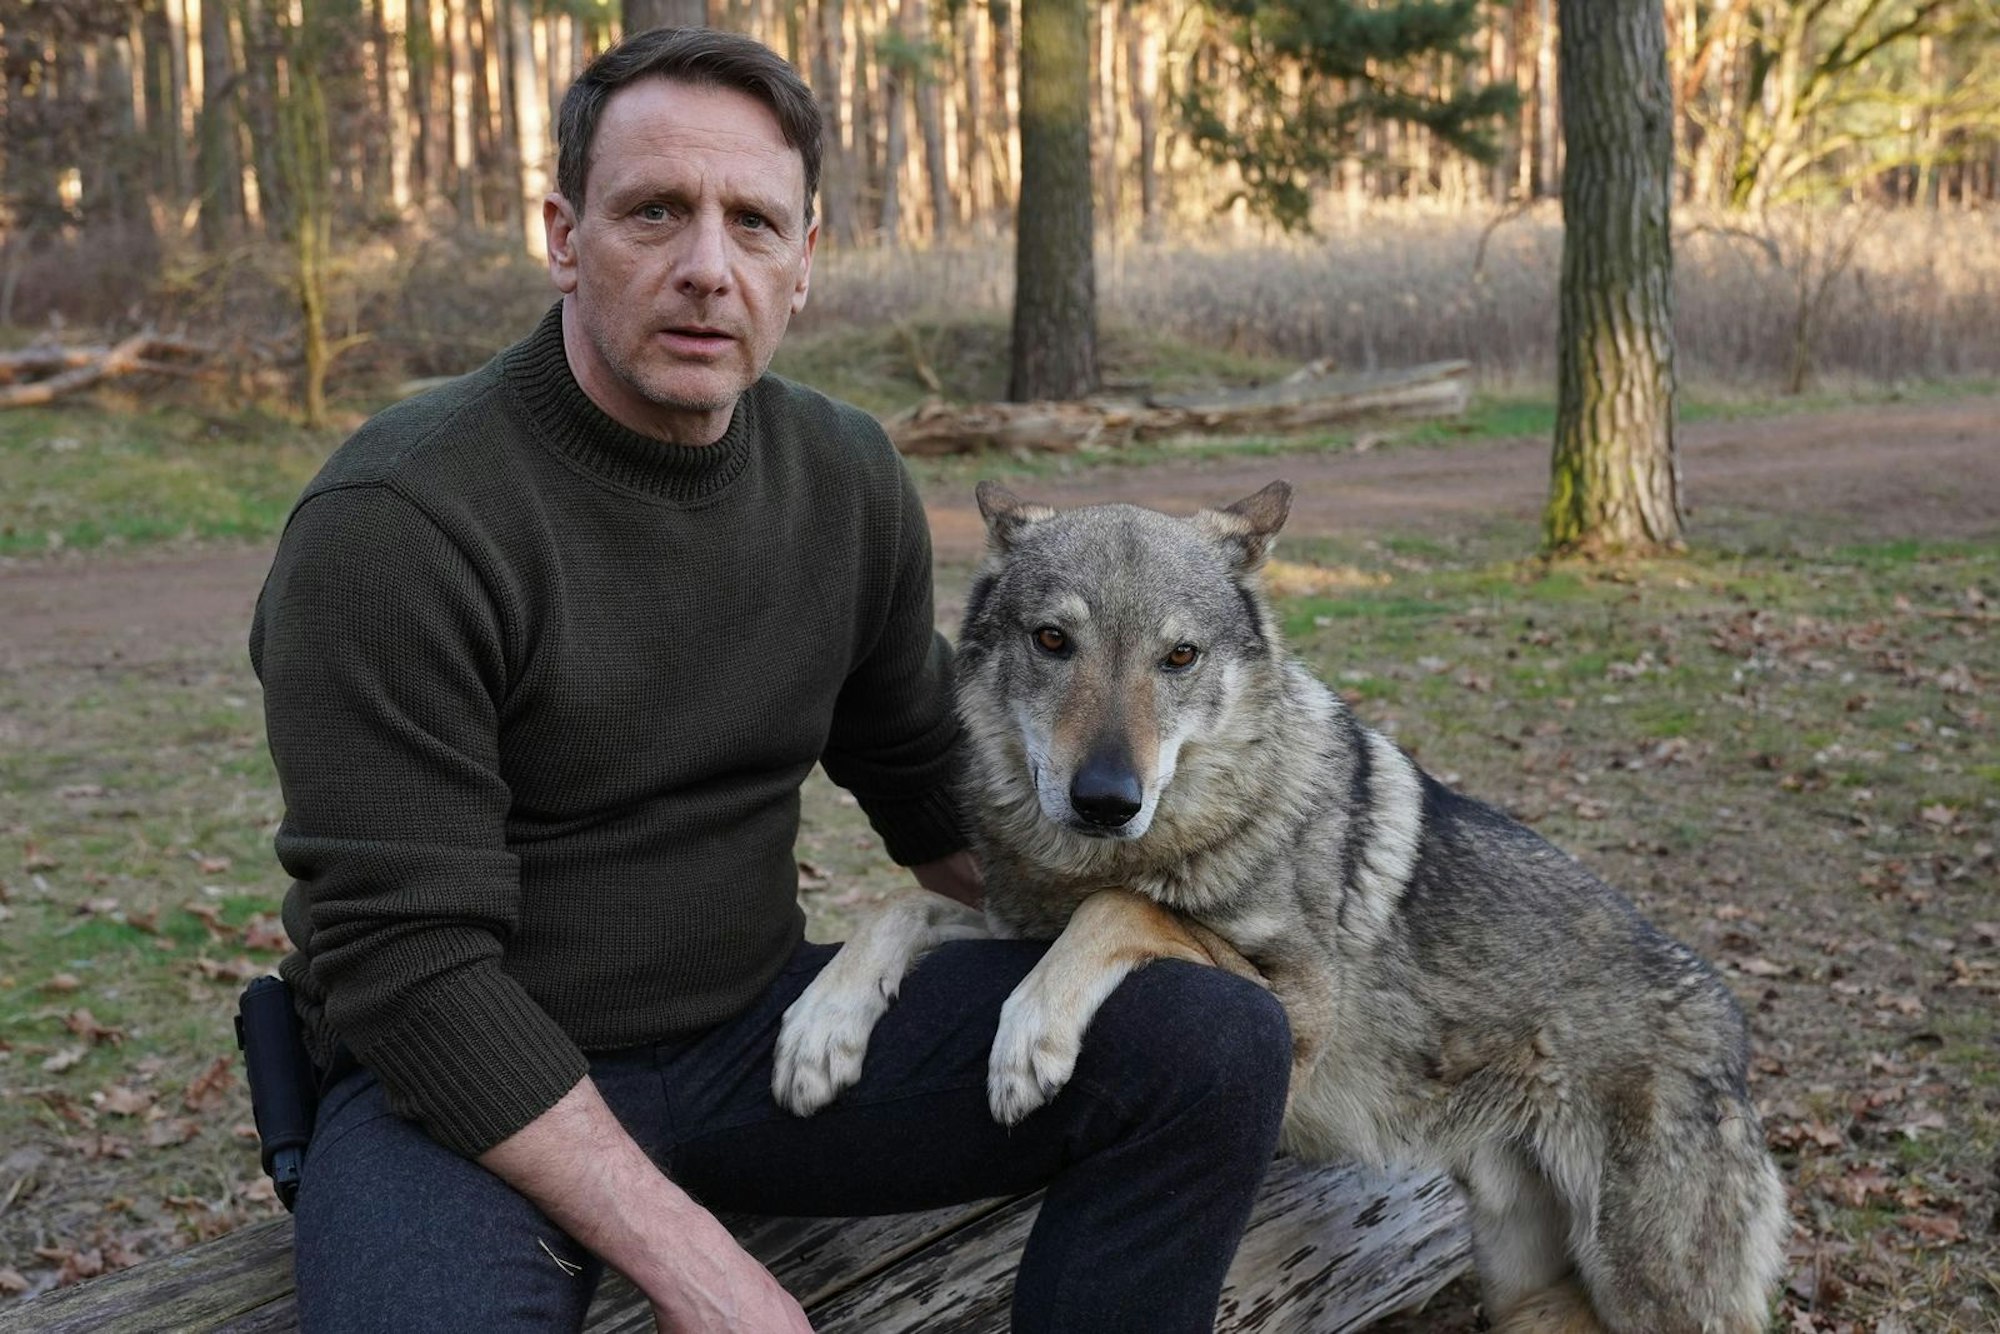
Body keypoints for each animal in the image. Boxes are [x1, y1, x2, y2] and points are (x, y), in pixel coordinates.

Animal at [774, 481, 1788, 1333]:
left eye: (1179, 657)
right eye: (1052, 641)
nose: (1106, 799)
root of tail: (1732, 1027)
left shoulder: (1296, 1006)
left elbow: (1122, 911)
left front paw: (1031, 1038)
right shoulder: (1007, 922)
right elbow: (898, 906)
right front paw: (819, 1029)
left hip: (1643, 1290)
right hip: (1522, 1284)